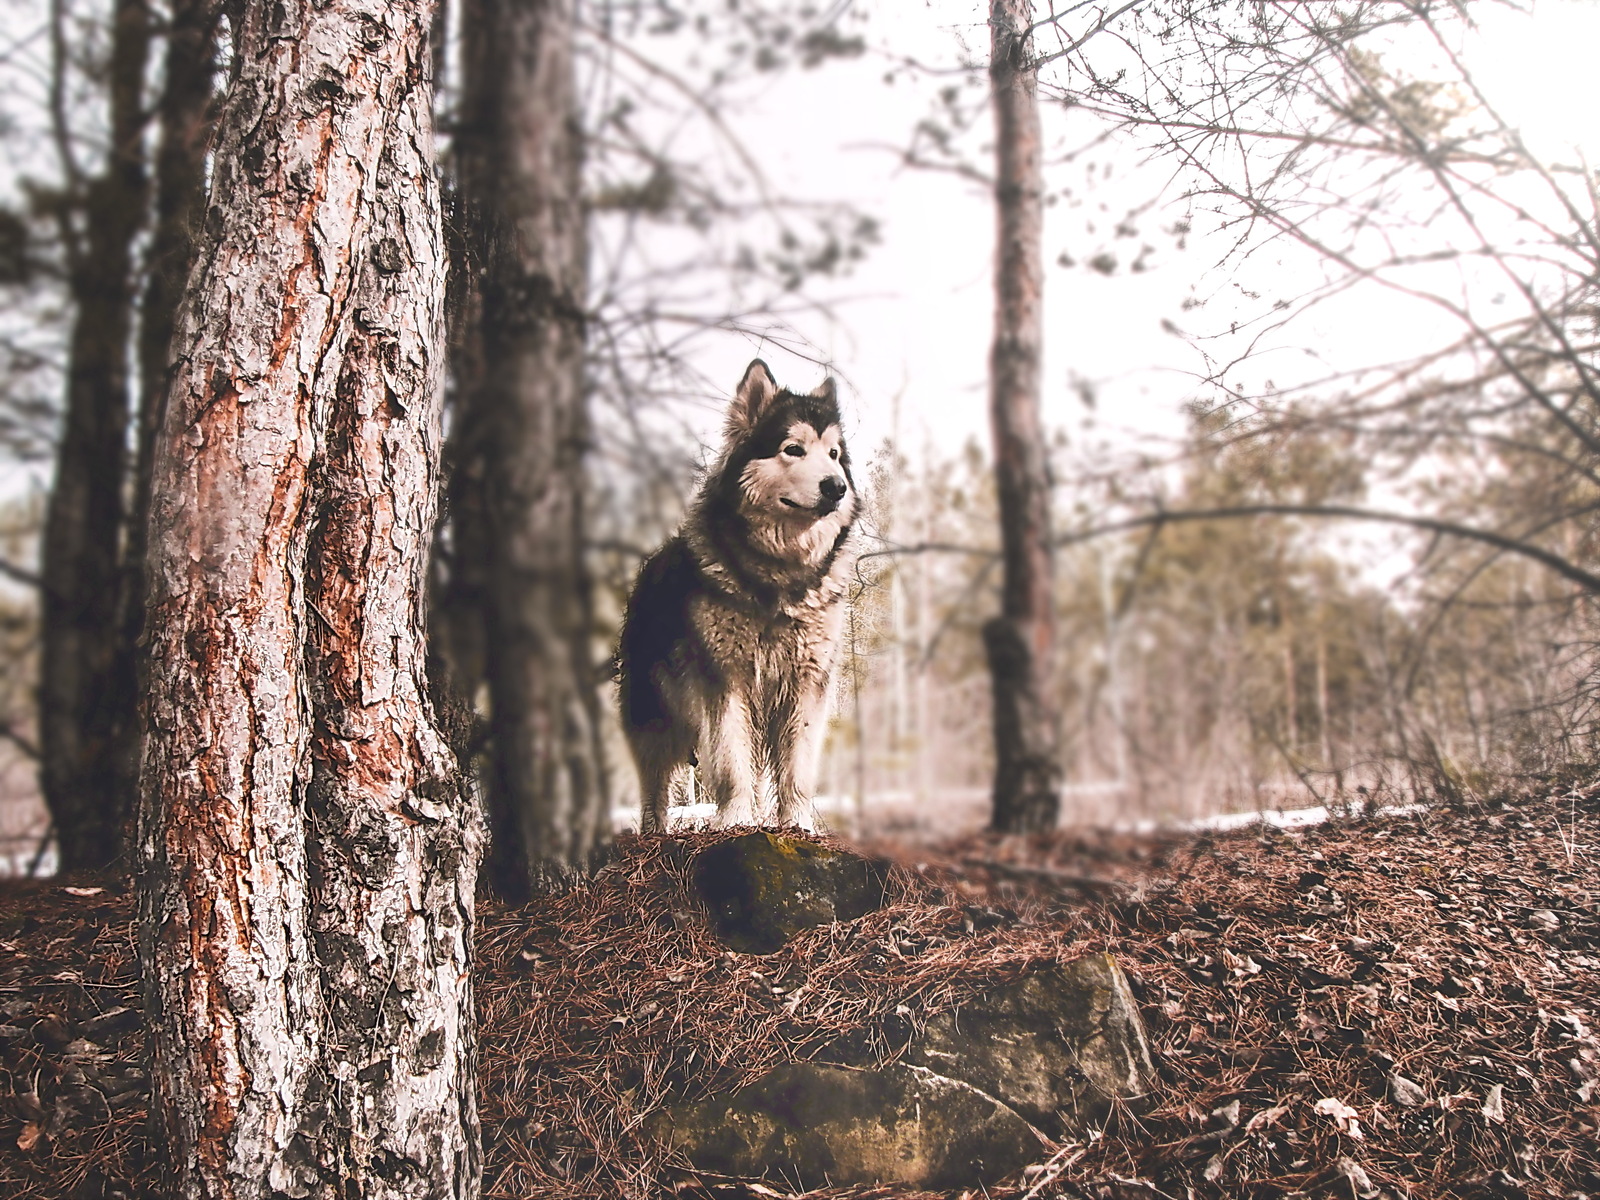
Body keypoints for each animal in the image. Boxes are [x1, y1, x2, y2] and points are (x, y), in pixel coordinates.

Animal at [614, 360, 864, 838]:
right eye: (793, 449)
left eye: (834, 454)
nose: (837, 487)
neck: (780, 576)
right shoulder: (725, 677)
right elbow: (731, 761)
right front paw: (735, 821)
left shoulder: (807, 682)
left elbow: (798, 768)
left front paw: (797, 825)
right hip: (653, 710)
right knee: (655, 777)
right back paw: (655, 831)